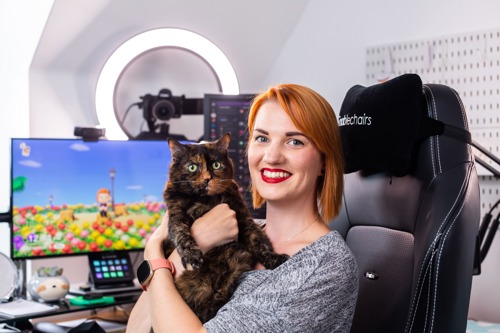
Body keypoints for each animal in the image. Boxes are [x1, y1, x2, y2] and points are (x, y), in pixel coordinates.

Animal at [164, 132, 290, 322]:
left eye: (216, 165)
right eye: (193, 167)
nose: (207, 178)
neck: (205, 200)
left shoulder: (242, 216)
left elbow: (258, 241)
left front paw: (274, 258)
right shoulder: (176, 215)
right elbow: (181, 235)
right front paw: (192, 256)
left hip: (239, 256)